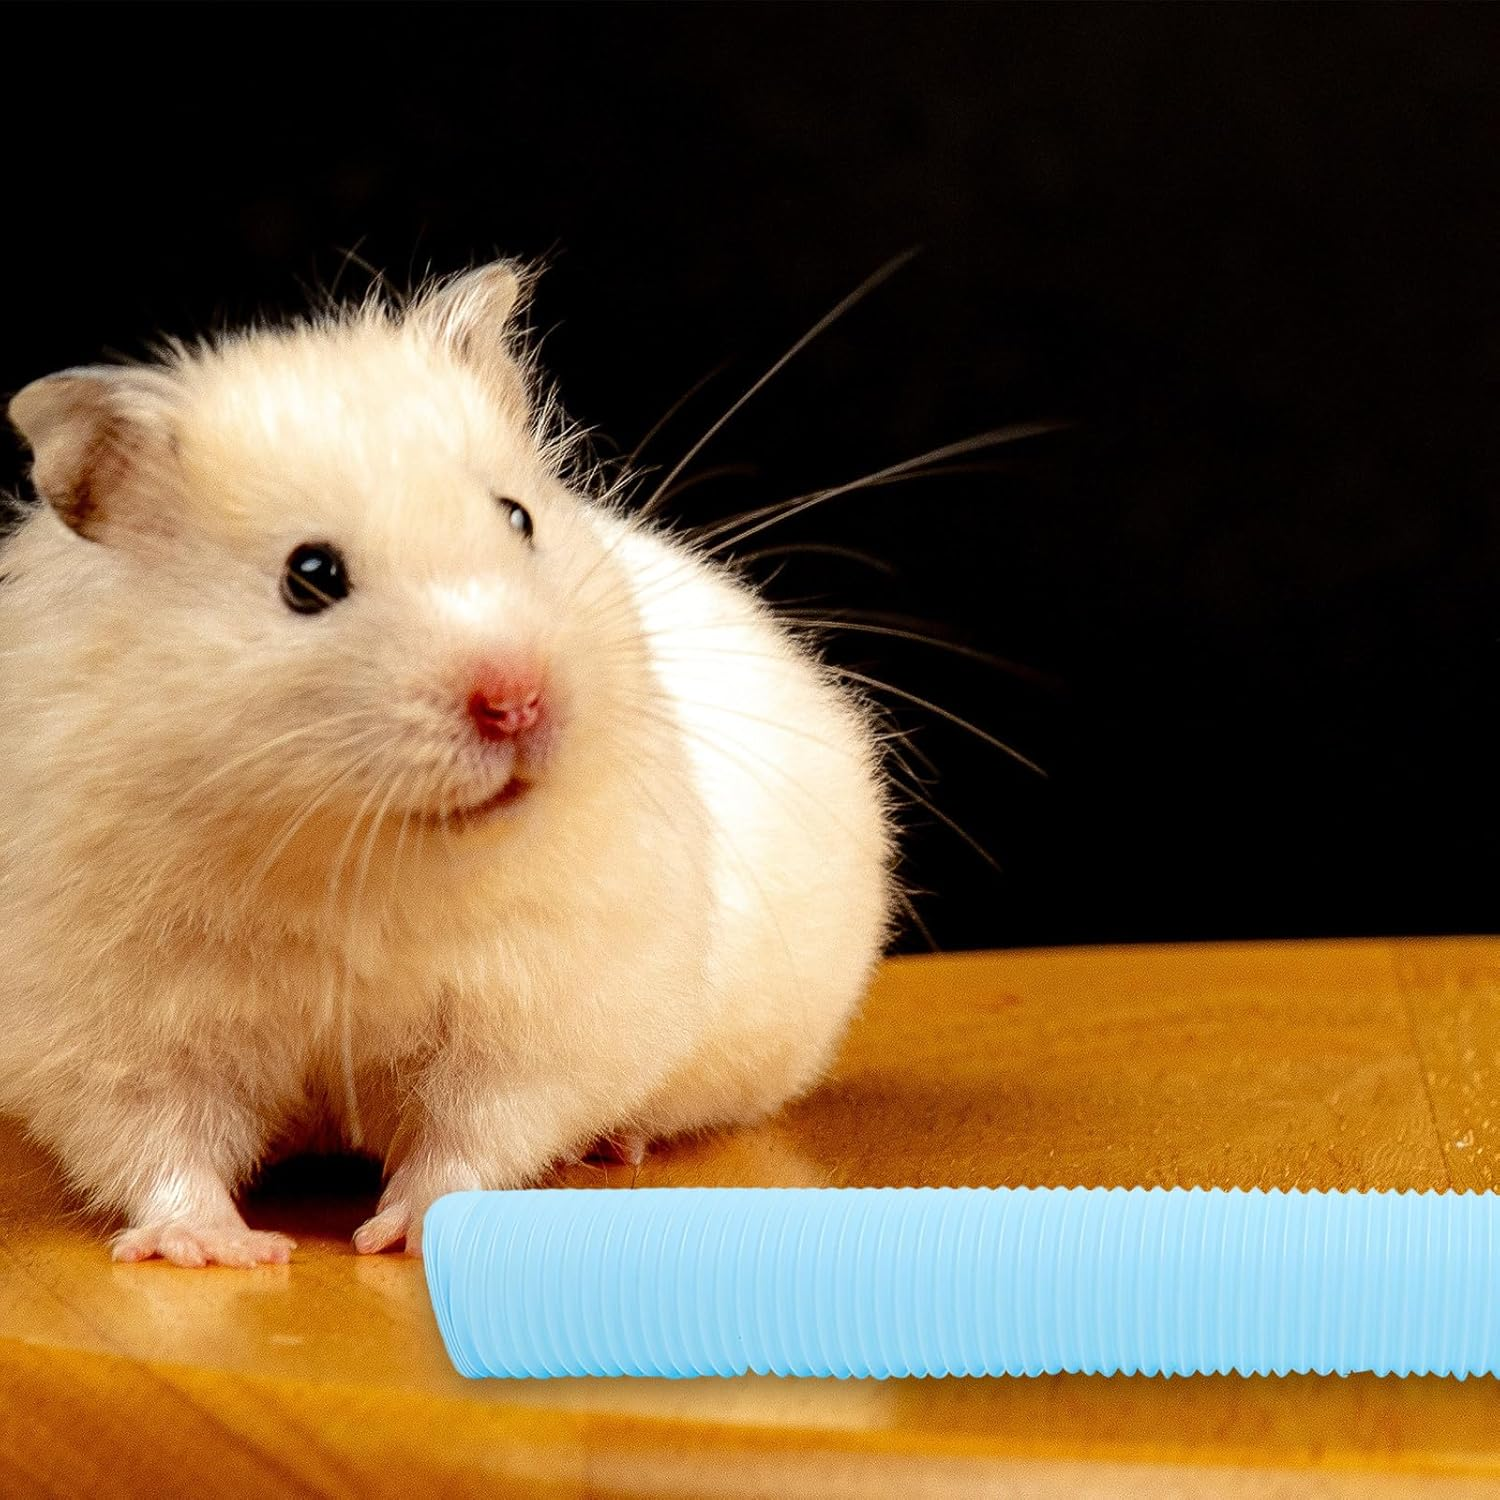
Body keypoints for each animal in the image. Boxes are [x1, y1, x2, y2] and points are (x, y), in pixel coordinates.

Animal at [0, 262, 895, 1265]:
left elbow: (475, 1131)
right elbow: (159, 1143)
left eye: (519, 517)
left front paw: (400, 1233)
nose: (518, 700)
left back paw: (615, 1144)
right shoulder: (115, 1029)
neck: (353, 856)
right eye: (310, 576)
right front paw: (219, 1248)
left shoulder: (539, 1008)